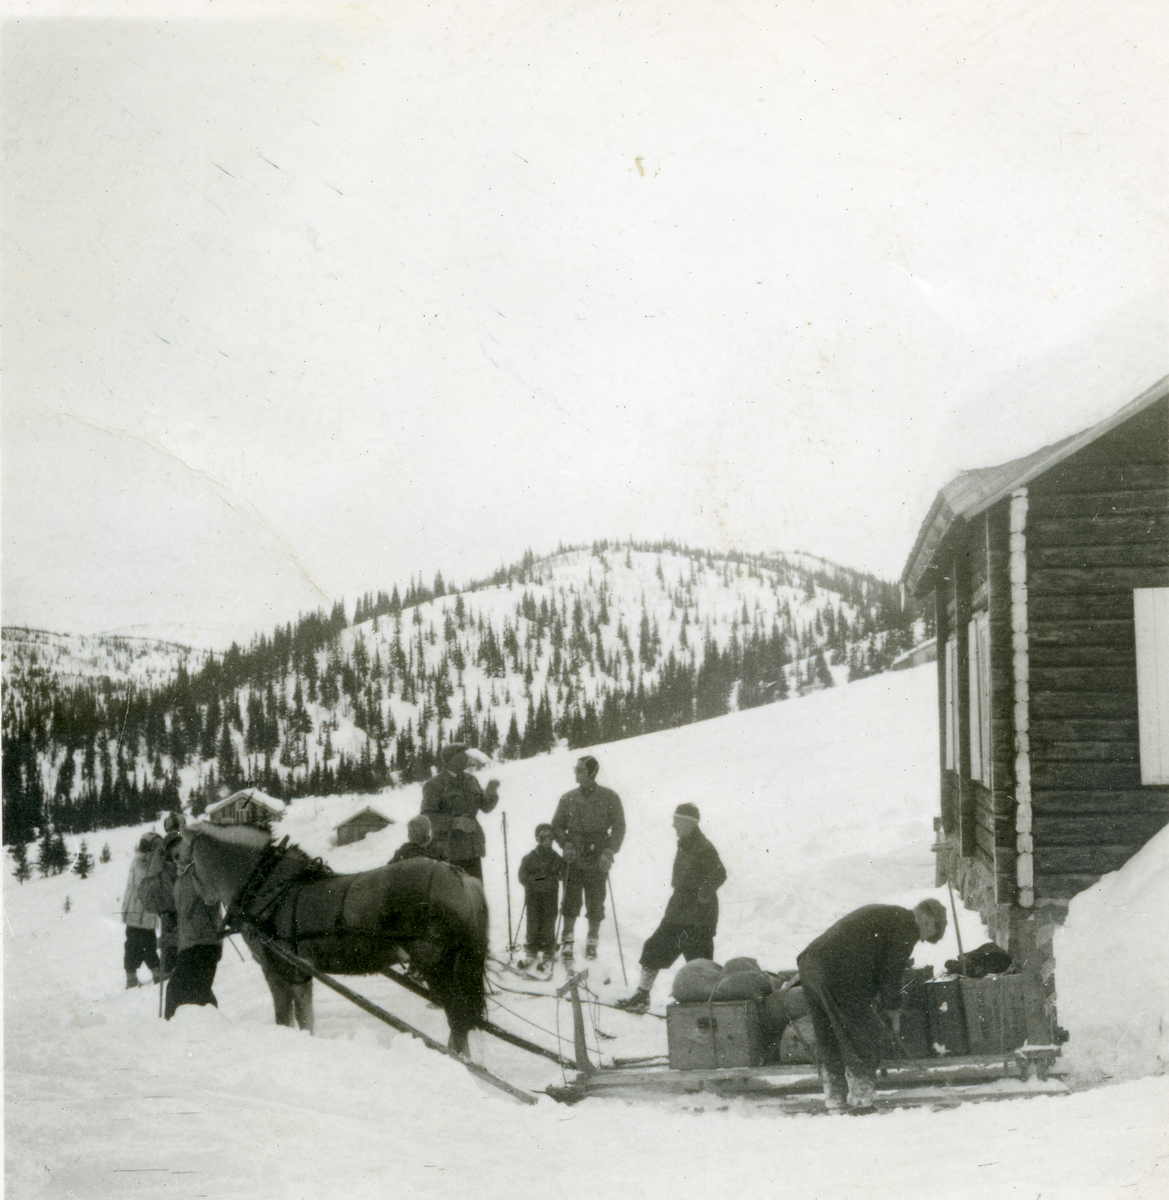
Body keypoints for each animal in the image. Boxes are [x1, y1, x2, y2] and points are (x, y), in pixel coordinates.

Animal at [187, 825, 489, 1051]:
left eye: (182, 857)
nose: (201, 900)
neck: (267, 886)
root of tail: (461, 878)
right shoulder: (297, 970)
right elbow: (300, 1015)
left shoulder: (280, 967)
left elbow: (291, 1016)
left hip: (439, 967)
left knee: (458, 1021)